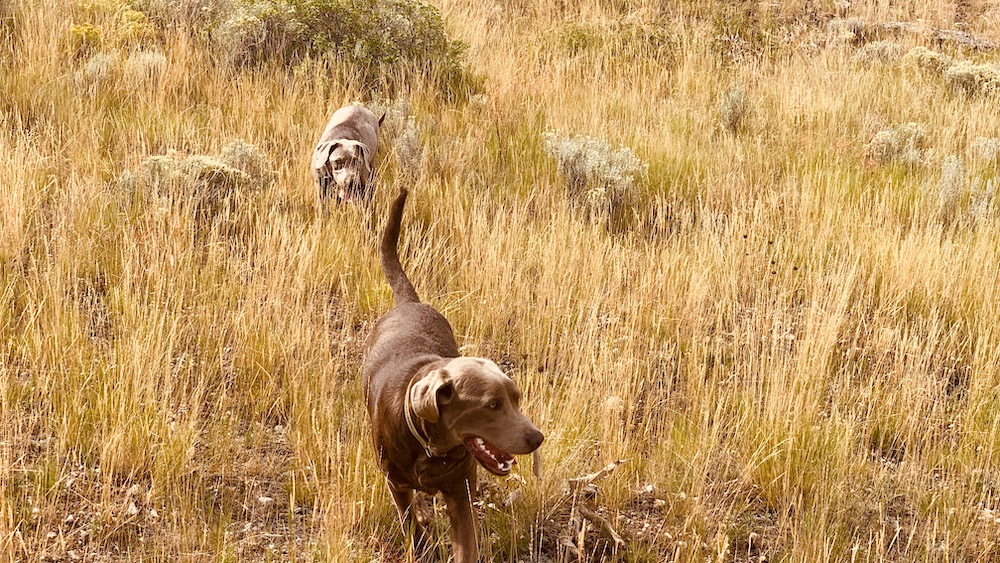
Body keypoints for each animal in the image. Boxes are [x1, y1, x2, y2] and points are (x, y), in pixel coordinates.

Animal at [364, 191, 544, 563]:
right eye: (492, 405)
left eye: (517, 399)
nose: (537, 438)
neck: (430, 446)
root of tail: (409, 303)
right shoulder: (397, 485)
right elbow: (412, 527)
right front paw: (421, 535)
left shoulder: (460, 495)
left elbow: (466, 545)